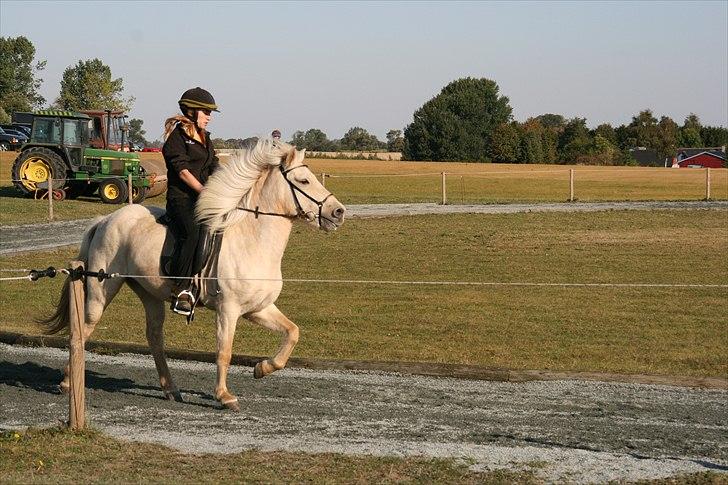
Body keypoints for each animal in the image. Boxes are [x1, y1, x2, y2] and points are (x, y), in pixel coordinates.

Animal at [40, 138, 346, 410]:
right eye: (304, 181)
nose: (338, 212)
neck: (252, 240)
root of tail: (105, 220)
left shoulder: (258, 308)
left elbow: (292, 332)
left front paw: (263, 368)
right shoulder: (228, 310)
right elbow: (224, 352)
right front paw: (225, 396)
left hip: (149, 293)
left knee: (154, 338)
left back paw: (171, 389)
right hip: (102, 290)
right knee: (85, 329)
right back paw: (67, 382)